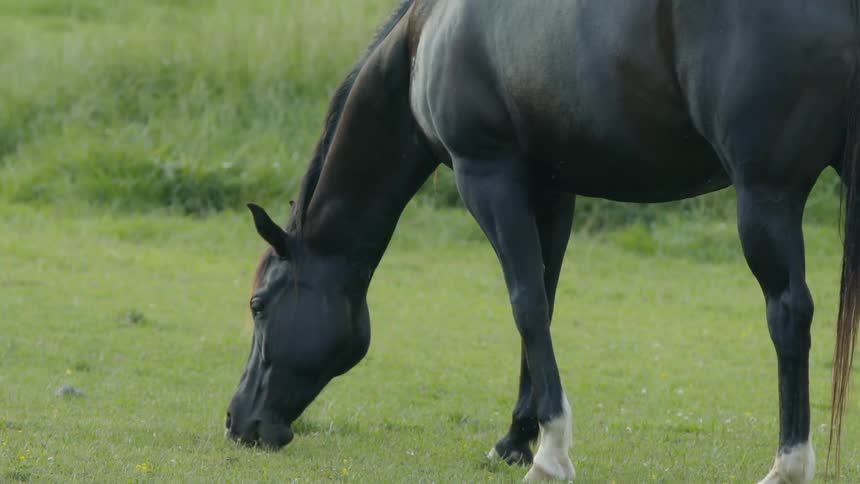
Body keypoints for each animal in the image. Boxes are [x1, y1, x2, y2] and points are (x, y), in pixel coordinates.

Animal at [225, 1, 860, 481]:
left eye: (258, 305)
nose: (238, 423)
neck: (425, 40)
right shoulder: (553, 191)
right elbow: (545, 306)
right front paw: (515, 439)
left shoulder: (488, 176)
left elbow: (525, 304)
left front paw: (550, 453)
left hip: (766, 196)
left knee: (788, 313)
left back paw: (787, 465)